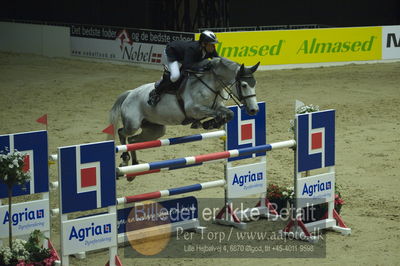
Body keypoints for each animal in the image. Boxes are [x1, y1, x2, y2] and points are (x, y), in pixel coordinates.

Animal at [109, 57, 260, 166]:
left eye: (254, 84)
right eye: (244, 85)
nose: (254, 110)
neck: (211, 84)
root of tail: (129, 94)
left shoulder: (217, 105)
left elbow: (229, 113)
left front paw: (210, 124)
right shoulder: (194, 109)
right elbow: (218, 113)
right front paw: (207, 123)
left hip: (155, 130)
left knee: (133, 140)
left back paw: (134, 163)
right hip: (133, 124)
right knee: (122, 132)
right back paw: (125, 159)